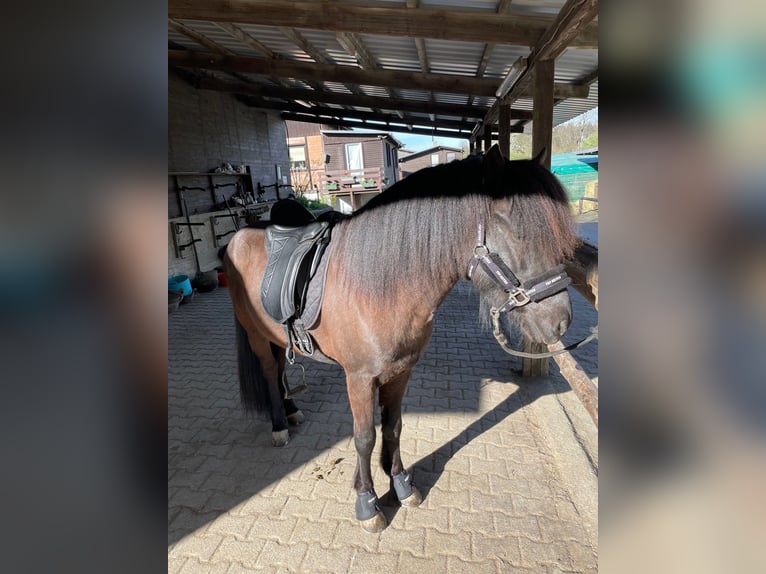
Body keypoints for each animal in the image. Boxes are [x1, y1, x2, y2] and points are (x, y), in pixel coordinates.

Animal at [223, 145, 579, 532]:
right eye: (518, 234)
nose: (561, 322)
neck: (378, 288)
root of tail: (238, 236)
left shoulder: (402, 370)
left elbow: (393, 427)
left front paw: (400, 484)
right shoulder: (360, 379)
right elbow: (365, 437)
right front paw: (367, 502)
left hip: (275, 335)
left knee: (282, 371)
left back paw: (291, 411)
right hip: (255, 336)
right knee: (270, 373)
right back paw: (278, 425)